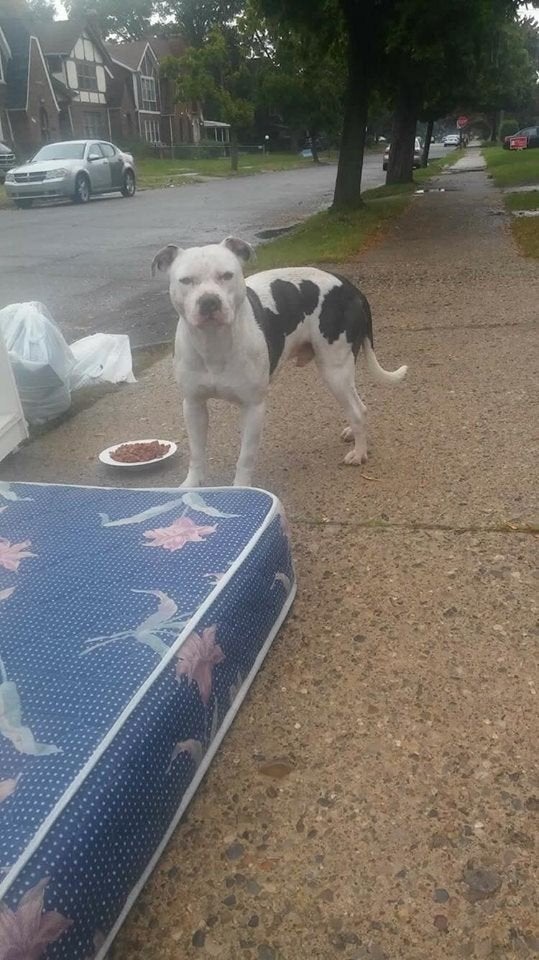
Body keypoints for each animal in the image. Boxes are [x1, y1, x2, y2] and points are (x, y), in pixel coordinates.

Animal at [151, 233, 404, 488]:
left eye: (227, 275)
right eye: (186, 280)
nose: (209, 301)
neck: (214, 343)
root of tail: (349, 286)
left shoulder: (253, 408)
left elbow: (245, 456)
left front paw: (241, 489)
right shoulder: (193, 405)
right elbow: (196, 452)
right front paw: (191, 485)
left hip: (335, 370)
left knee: (357, 410)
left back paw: (359, 452)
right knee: (358, 406)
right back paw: (352, 432)